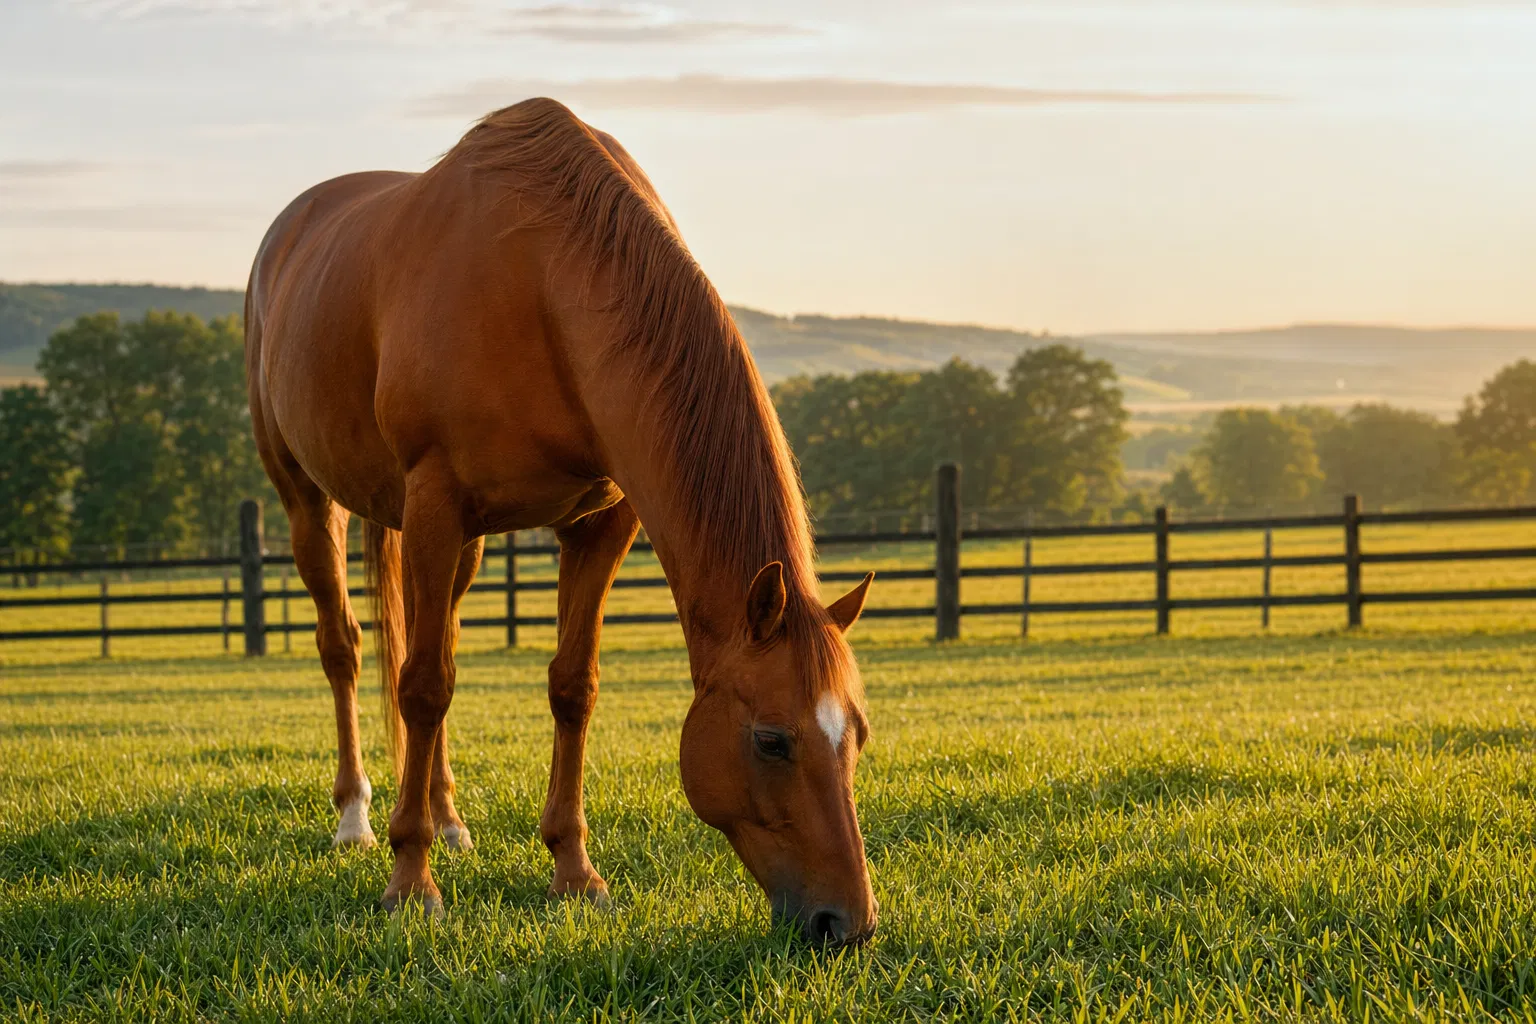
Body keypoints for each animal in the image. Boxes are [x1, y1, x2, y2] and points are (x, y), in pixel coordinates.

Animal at [244, 97, 878, 944]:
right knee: (345, 649)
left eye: (857, 735)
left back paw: (448, 818)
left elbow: (569, 686)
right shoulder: (435, 500)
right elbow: (423, 687)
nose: (848, 923)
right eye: (771, 740)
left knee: (432, 642)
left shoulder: (600, 523)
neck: (540, 287)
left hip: (462, 545)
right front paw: (411, 883)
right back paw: (357, 818)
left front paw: (574, 872)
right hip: (310, 500)